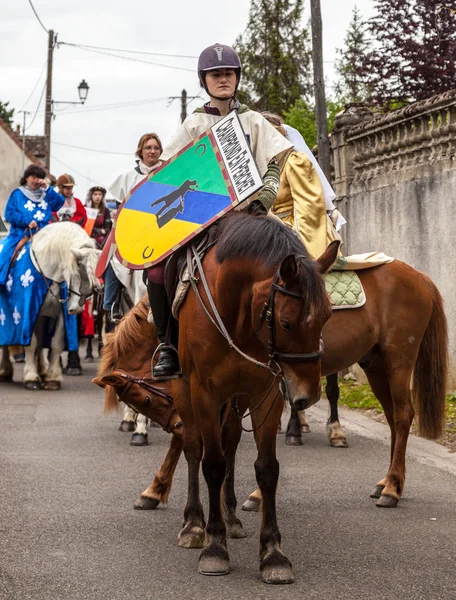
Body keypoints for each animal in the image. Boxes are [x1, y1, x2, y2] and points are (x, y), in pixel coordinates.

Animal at [0, 221, 101, 390]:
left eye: (95, 269)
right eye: (80, 267)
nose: (78, 307)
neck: (49, 274)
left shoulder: (58, 315)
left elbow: (56, 344)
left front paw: (52, 378)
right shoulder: (28, 314)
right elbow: (31, 343)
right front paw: (31, 378)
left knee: (41, 341)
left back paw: (41, 369)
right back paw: (5, 371)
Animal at [173, 213, 336, 584]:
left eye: (327, 317)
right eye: (287, 323)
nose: (307, 396)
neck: (237, 316)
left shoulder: (266, 392)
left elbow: (266, 468)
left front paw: (273, 553)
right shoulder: (203, 392)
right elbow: (211, 463)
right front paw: (214, 547)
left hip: (238, 398)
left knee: (231, 443)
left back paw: (231, 517)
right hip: (183, 389)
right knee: (193, 447)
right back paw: (194, 523)